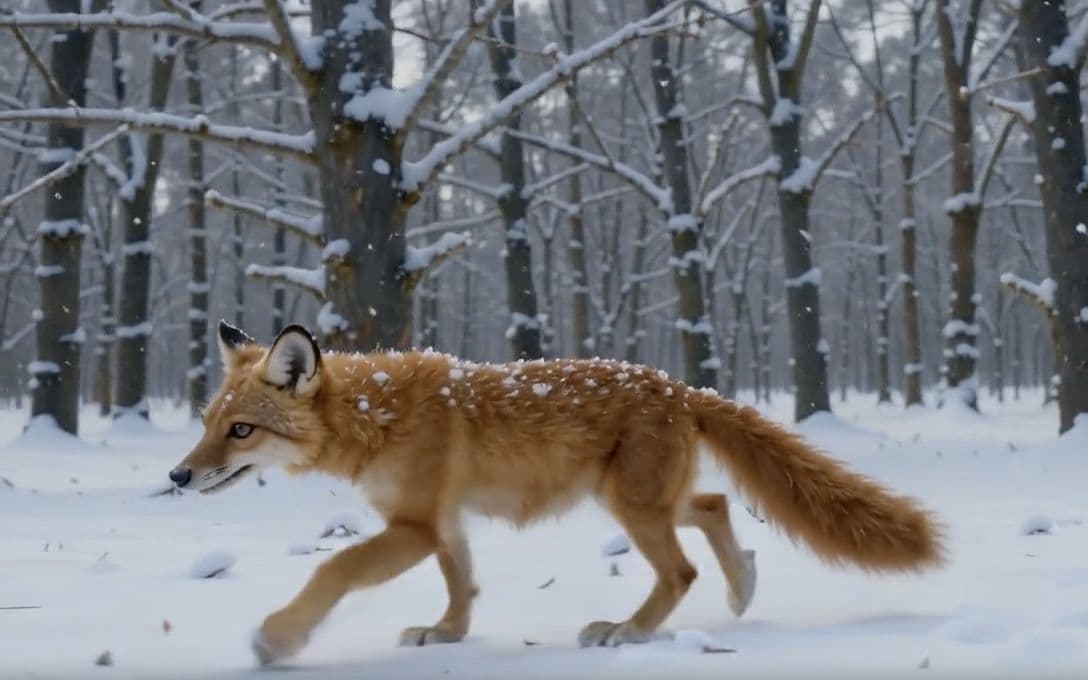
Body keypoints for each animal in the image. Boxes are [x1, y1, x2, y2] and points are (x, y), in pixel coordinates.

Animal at [169, 320, 945, 665]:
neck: (375, 416)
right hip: (645, 501)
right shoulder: (443, 522)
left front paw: (279, 637)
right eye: (206, 424)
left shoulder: (415, 525)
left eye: (240, 430)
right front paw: (447, 635)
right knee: (716, 509)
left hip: (632, 509)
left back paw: (628, 631)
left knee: (681, 570)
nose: (177, 477)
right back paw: (742, 588)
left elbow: (331, 570)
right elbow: (463, 586)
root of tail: (679, 387)